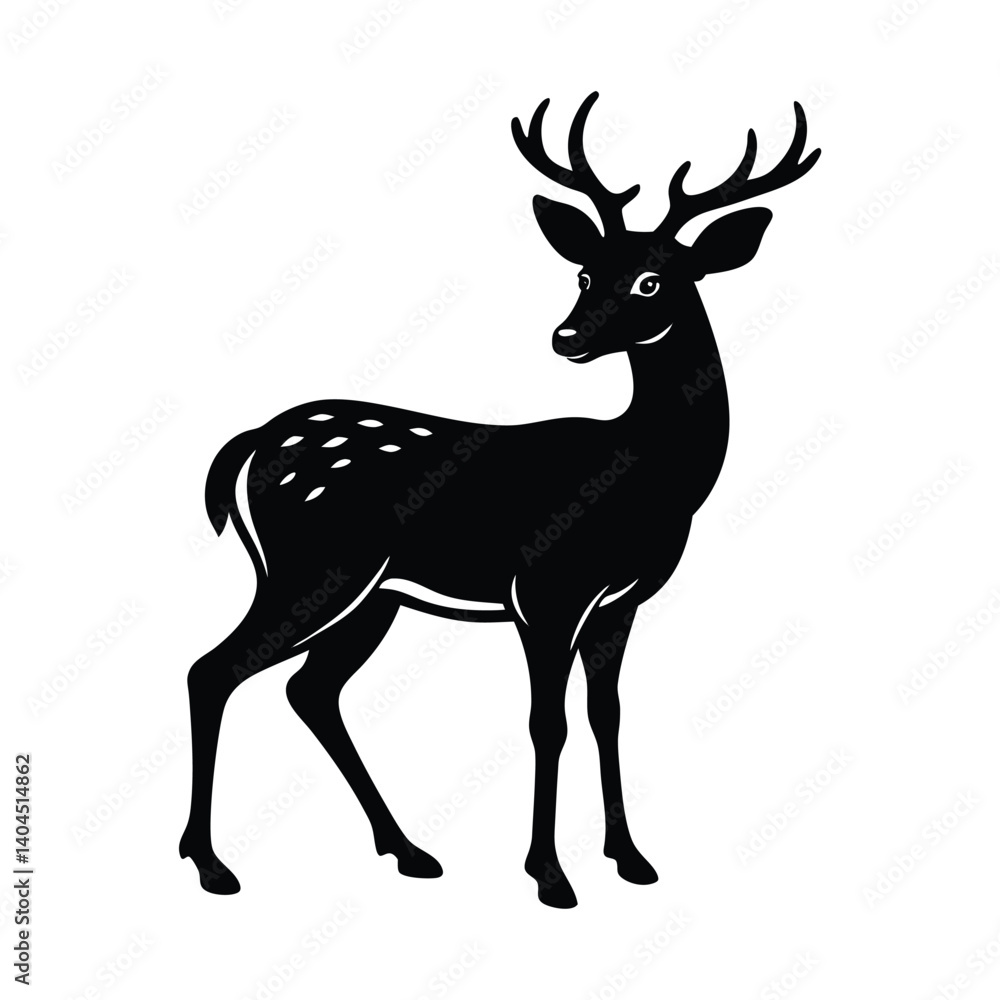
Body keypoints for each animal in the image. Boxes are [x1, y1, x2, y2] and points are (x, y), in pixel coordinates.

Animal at [179, 92, 820, 908]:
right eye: (585, 272)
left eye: (652, 281)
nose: (567, 337)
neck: (650, 479)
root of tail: (252, 442)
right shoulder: (546, 589)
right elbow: (548, 722)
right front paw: (550, 875)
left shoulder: (619, 601)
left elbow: (606, 714)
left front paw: (631, 859)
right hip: (314, 564)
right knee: (214, 670)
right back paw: (210, 863)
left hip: (372, 593)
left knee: (309, 689)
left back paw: (408, 850)